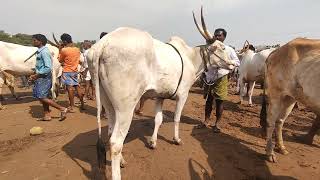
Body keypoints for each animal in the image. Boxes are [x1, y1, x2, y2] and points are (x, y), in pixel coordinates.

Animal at [87, 8, 238, 180]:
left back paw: (122, 161)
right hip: (126, 107)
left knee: (111, 131)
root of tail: (102, 44)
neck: (191, 58)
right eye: (222, 47)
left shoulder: (160, 96)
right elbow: (177, 118)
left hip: (108, 103)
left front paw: (153, 142)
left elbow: (158, 119)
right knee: (115, 142)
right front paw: (177, 139)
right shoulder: (183, 95)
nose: (233, 64)